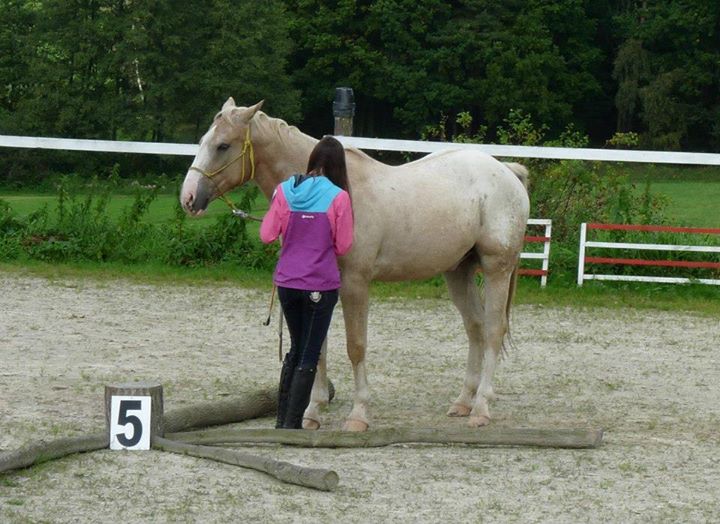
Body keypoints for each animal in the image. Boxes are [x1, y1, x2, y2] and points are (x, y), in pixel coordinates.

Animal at [180, 98, 528, 430]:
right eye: (203, 140)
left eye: (223, 145)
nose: (188, 198)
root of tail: (507, 172)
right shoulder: (319, 287)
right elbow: (317, 346)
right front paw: (313, 412)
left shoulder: (355, 284)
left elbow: (355, 346)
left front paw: (358, 414)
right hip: (458, 271)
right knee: (475, 328)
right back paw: (464, 401)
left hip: (496, 269)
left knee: (493, 330)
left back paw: (481, 408)